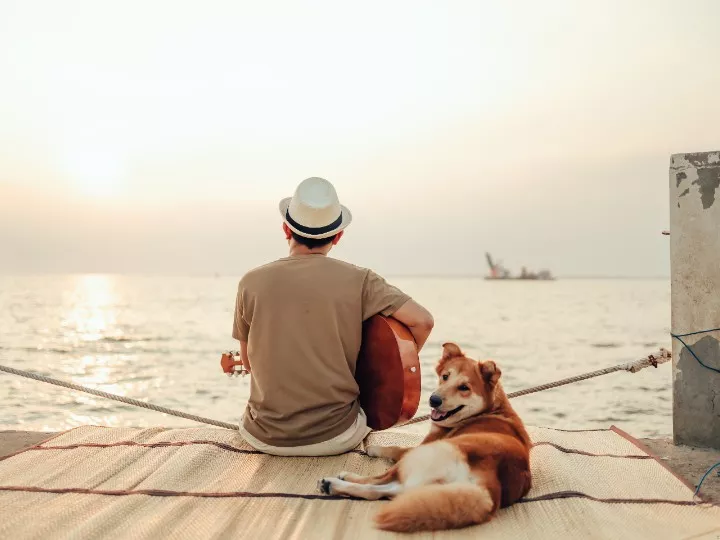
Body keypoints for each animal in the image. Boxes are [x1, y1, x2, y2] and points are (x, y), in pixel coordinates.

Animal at [318, 342, 532, 532]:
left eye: (464, 387)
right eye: (445, 376)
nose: (433, 400)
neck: (491, 410)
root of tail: (489, 485)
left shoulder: (421, 445)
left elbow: (397, 448)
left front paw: (374, 448)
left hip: (422, 456)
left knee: (378, 481)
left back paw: (340, 479)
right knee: (383, 491)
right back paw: (332, 486)